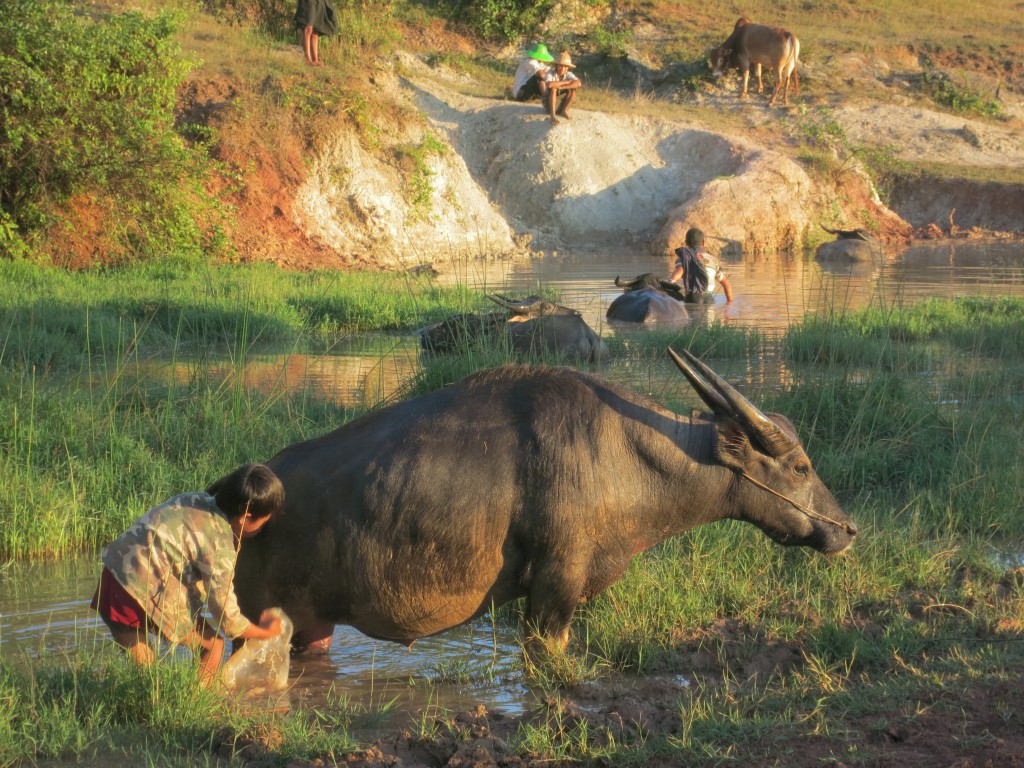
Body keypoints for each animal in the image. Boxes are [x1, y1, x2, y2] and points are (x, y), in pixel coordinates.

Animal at [234, 348, 856, 655]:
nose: (846, 530)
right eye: (800, 466)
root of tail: (242, 507)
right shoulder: (555, 590)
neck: (625, 455)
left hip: (312, 629)